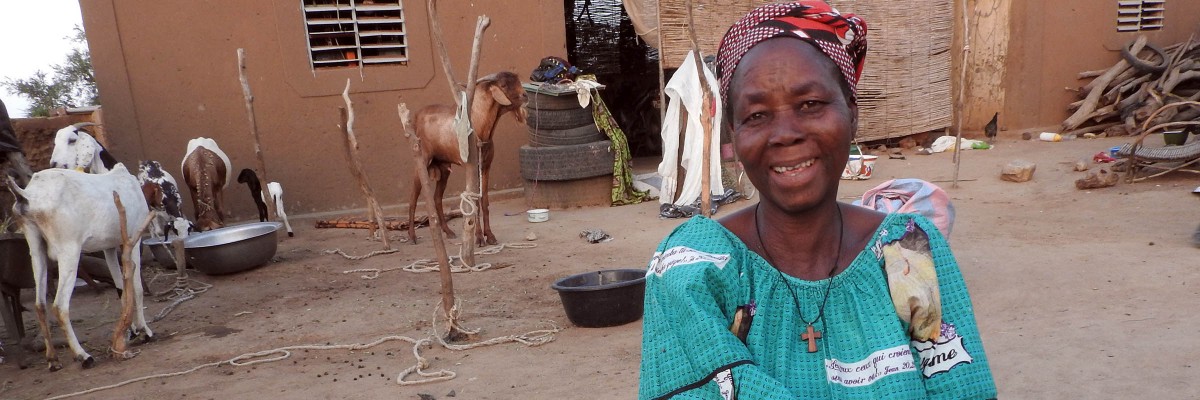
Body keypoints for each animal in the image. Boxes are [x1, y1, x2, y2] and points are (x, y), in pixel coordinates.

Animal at [5, 163, 154, 369]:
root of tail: (28, 196)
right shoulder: (133, 240)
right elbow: (137, 288)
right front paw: (144, 331)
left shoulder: (108, 248)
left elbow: (121, 289)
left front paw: (130, 332)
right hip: (70, 253)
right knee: (59, 305)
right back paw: (83, 356)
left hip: (36, 250)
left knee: (40, 304)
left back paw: (53, 360)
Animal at [408, 72, 525, 246]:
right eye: (503, 85)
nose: (525, 95)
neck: (479, 127)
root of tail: (416, 117)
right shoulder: (471, 167)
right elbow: (474, 202)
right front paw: (479, 237)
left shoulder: (486, 166)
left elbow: (484, 201)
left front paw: (490, 235)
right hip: (421, 162)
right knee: (414, 197)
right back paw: (411, 235)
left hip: (443, 168)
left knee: (437, 197)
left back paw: (448, 232)